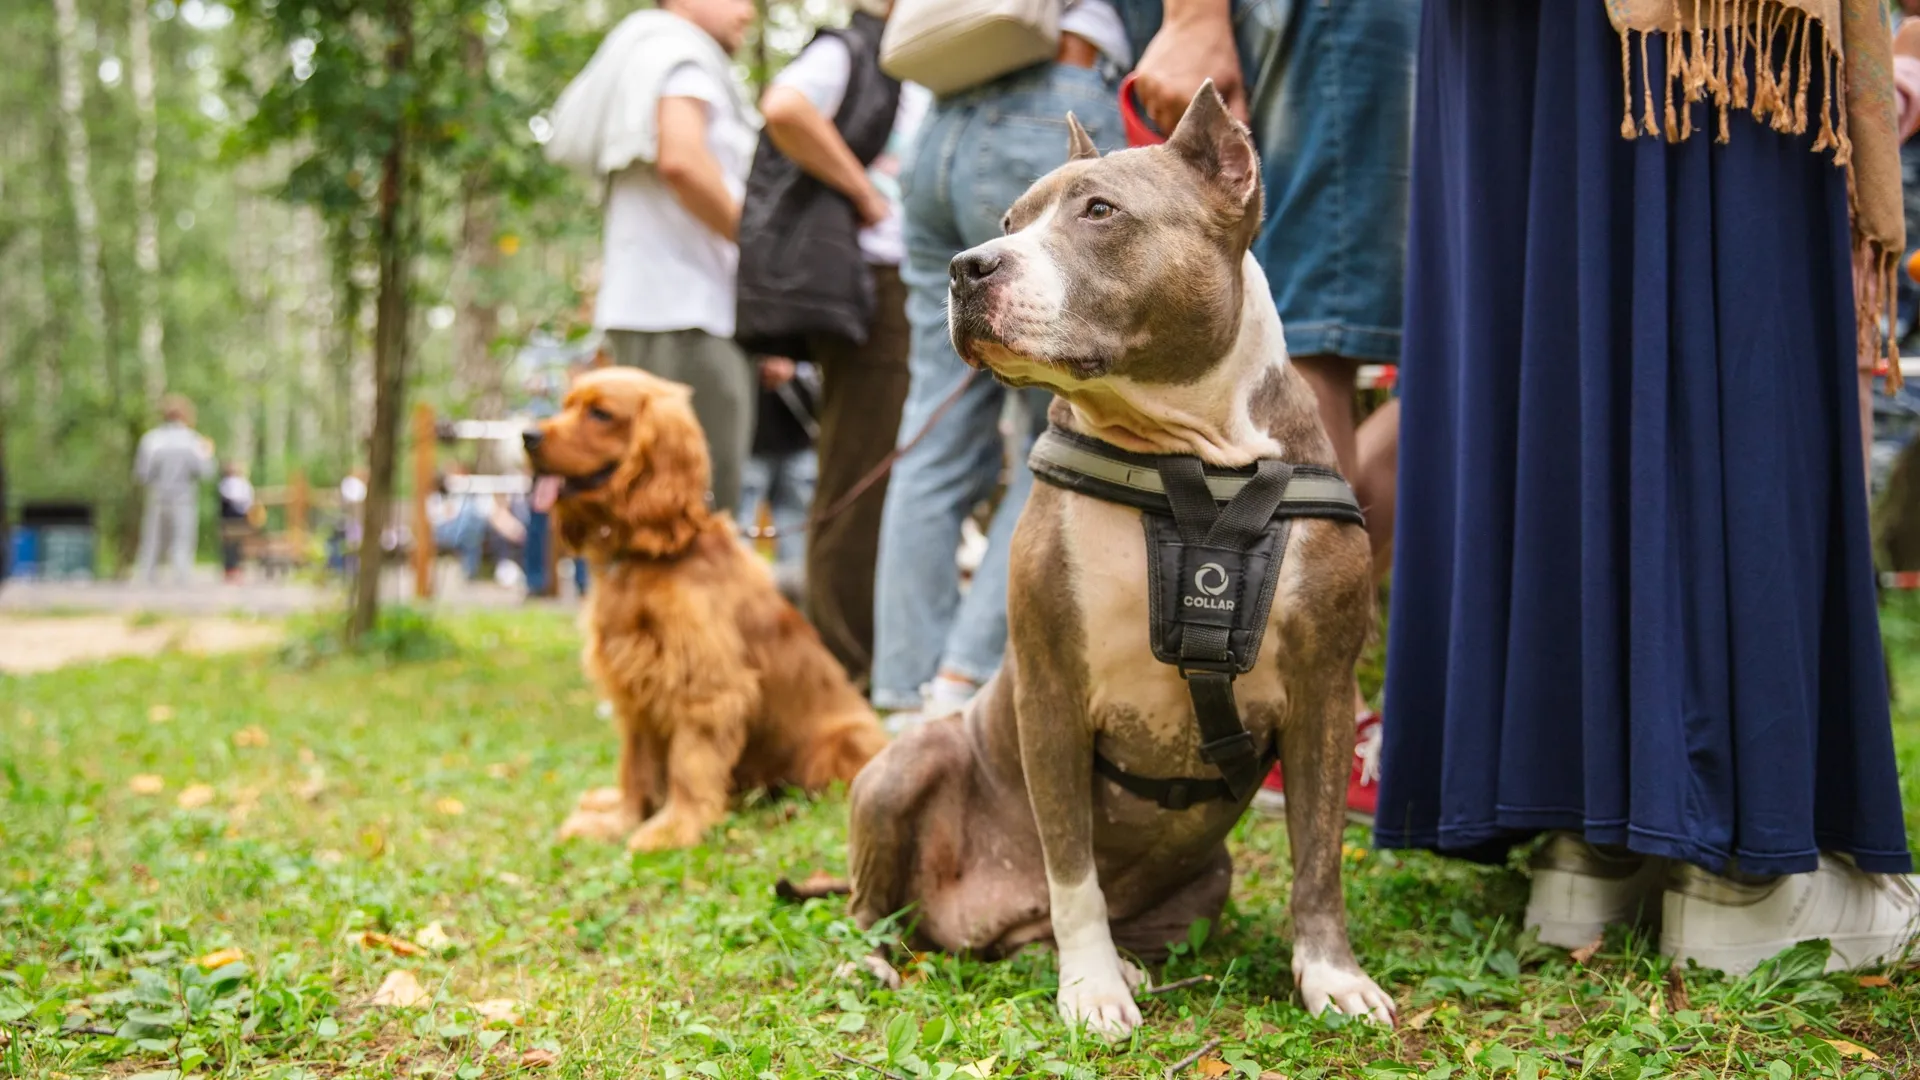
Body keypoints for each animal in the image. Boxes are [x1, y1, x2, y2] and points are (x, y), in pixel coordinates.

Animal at [848, 84, 1390, 1037]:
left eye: (1099, 212)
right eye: (1008, 219)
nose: (965, 266)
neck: (1194, 465)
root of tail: (974, 922)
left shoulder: (1326, 691)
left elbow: (1319, 857)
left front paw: (1333, 975)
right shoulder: (1052, 691)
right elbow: (1073, 868)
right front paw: (1092, 987)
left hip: (1208, 879)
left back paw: (1125, 962)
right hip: (900, 771)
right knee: (876, 906)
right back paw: (886, 959)